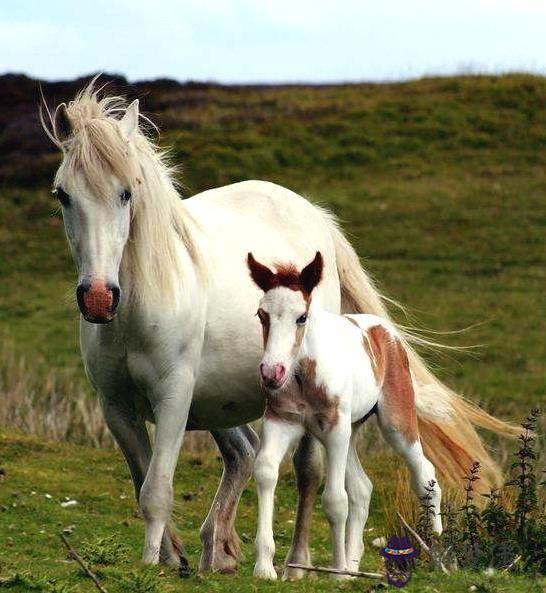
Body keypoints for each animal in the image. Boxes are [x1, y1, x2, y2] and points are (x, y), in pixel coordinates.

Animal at [246, 251, 442, 580]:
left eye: (301, 317)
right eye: (262, 315)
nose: (272, 373)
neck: (304, 375)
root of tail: (386, 331)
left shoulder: (335, 429)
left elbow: (335, 500)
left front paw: (336, 573)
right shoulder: (281, 421)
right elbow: (265, 471)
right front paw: (264, 567)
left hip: (394, 422)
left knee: (425, 474)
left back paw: (439, 552)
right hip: (350, 430)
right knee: (362, 489)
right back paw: (353, 566)